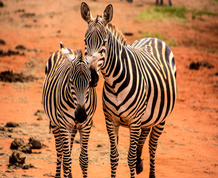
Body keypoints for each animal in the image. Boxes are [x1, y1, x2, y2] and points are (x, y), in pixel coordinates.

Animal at [42, 42, 96, 177]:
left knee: (69, 149)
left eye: (89, 83)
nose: (81, 115)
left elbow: (84, 160)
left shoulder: (86, 124)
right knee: (60, 151)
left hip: (73, 126)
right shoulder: (64, 124)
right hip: (56, 123)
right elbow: (66, 161)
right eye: (71, 81)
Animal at [81, 2, 176, 178]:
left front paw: (134, 162)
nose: (92, 76)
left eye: (104, 42)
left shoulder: (134, 121)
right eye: (85, 40)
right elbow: (114, 156)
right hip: (147, 116)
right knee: (145, 135)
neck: (114, 84)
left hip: (161, 118)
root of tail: (153, 38)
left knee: (152, 146)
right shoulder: (111, 121)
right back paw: (140, 163)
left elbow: (130, 157)